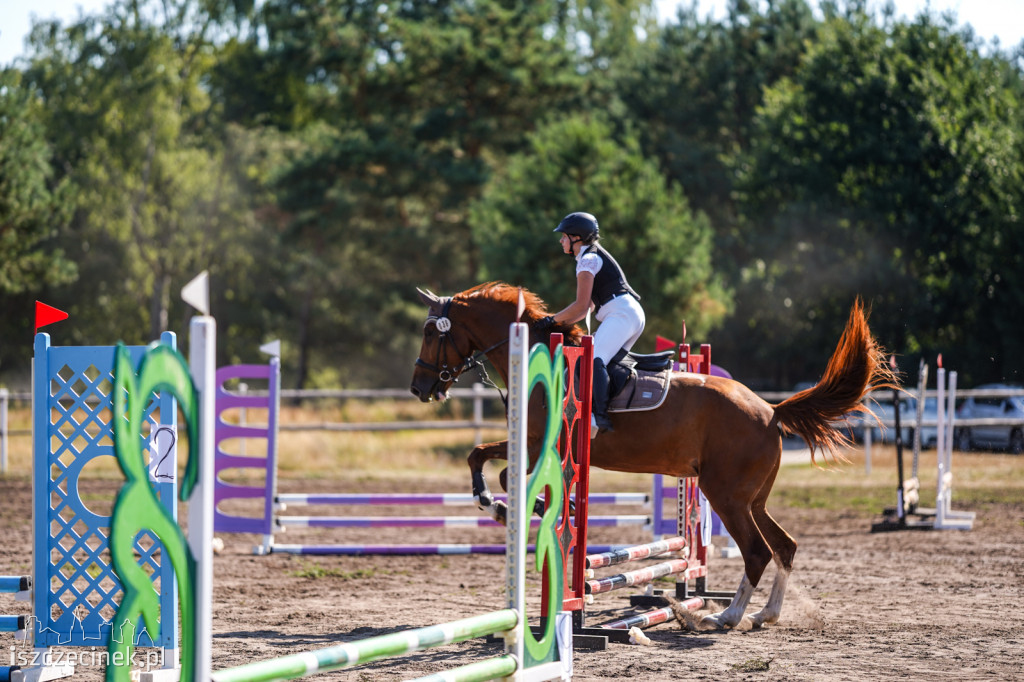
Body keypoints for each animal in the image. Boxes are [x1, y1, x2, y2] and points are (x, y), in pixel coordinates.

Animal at [409, 280, 897, 626]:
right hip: (752, 499)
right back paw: (765, 614)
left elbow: (503, 472)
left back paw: (725, 616)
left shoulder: (536, 449)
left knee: (758, 551)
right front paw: (496, 503)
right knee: (784, 546)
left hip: (725, 494)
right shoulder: (528, 446)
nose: (419, 388)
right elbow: (479, 455)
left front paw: (522, 508)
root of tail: (771, 410)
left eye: (432, 331)